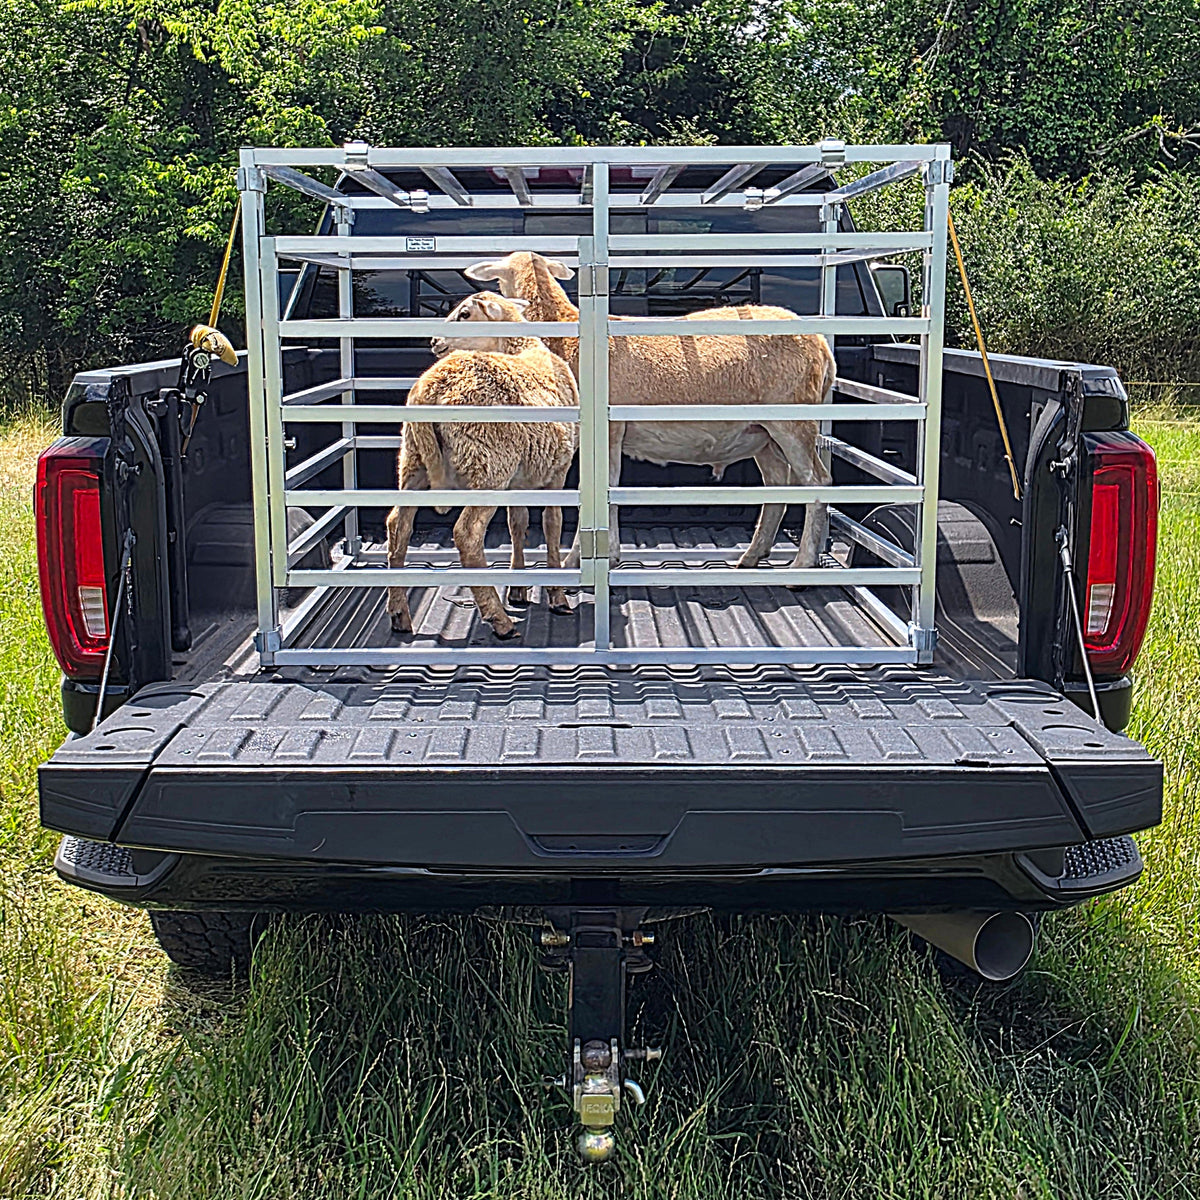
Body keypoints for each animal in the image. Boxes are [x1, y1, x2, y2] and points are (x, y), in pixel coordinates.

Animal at [385, 291, 579, 640]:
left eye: (464, 314)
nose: (434, 341)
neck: (522, 347)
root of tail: (430, 387)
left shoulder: (521, 479)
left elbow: (518, 524)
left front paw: (519, 590)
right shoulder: (559, 470)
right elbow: (552, 524)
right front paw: (557, 597)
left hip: (413, 460)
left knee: (398, 525)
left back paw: (399, 614)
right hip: (489, 465)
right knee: (467, 534)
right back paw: (499, 619)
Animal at [464, 252, 835, 573]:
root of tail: (822, 344)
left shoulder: (609, 431)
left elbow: (603, 489)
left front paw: (583, 560)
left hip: (793, 421)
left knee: (818, 481)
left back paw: (803, 564)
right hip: (762, 432)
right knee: (778, 486)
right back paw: (752, 556)